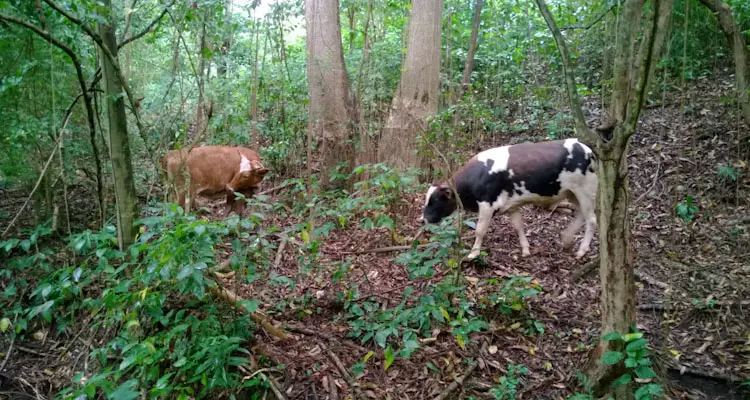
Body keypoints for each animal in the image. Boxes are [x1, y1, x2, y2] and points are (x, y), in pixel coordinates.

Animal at [424, 139, 600, 260]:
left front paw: (474, 253)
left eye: (435, 201)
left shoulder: (488, 204)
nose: (422, 219)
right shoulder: (511, 205)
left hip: (585, 190)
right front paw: (526, 249)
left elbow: (480, 230)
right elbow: (519, 227)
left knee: (591, 219)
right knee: (580, 214)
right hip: (571, 193)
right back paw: (566, 239)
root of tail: (586, 148)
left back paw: (582, 250)